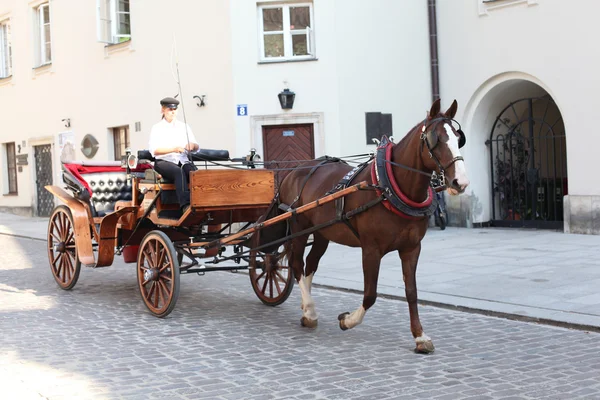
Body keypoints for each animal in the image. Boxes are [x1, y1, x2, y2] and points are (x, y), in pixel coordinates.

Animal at [276, 98, 468, 352]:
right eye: (435, 139)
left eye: (458, 138)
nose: (460, 182)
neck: (390, 187)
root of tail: (294, 171)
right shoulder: (371, 249)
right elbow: (370, 294)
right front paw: (347, 320)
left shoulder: (411, 248)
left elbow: (411, 292)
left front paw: (420, 336)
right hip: (298, 228)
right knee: (297, 265)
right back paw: (309, 310)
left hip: (322, 233)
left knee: (310, 265)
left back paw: (306, 306)